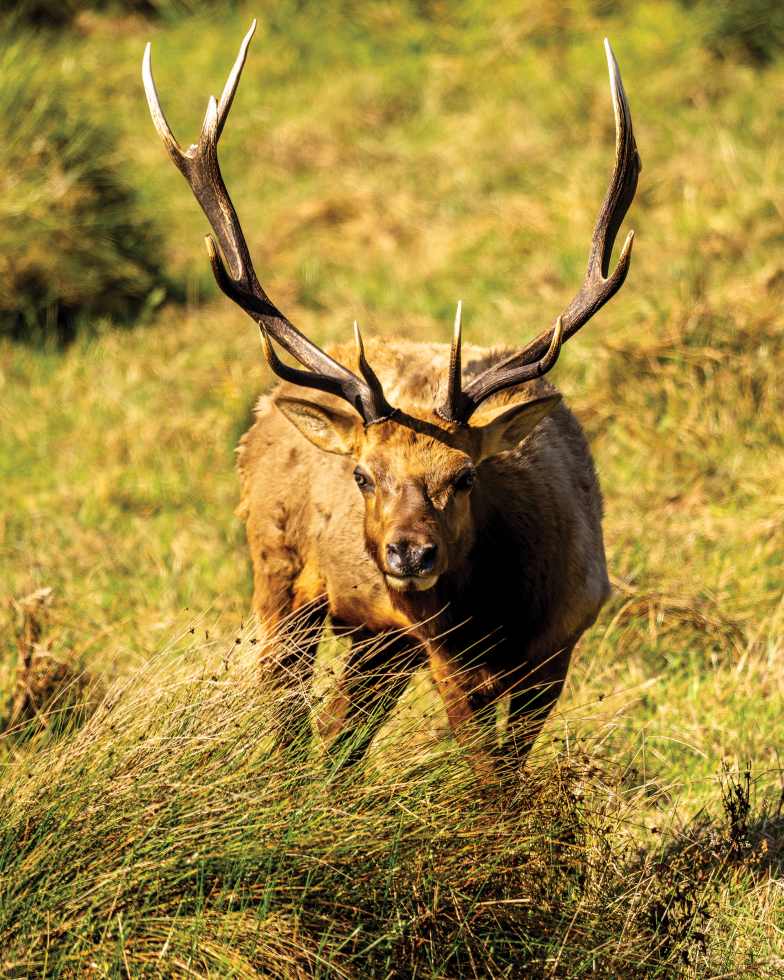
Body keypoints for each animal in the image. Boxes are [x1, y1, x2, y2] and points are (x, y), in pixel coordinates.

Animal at [143, 24, 640, 776]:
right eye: (362, 476)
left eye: (464, 477)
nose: (409, 554)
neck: (504, 610)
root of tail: (265, 412)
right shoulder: (446, 656)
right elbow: (487, 778)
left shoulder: (561, 641)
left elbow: (508, 776)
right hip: (280, 576)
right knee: (288, 711)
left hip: (382, 636)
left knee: (340, 732)